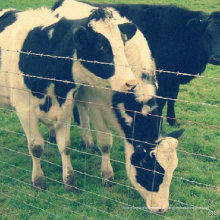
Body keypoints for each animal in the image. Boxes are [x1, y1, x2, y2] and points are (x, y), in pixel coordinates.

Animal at [0, 7, 138, 191]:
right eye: (101, 47)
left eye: (122, 44)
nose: (130, 83)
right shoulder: (24, 109)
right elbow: (36, 147)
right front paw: (38, 181)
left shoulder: (65, 105)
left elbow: (65, 146)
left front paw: (69, 181)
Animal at [51, 0, 184, 213]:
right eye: (149, 169)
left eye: (172, 170)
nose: (161, 208)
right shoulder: (97, 103)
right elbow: (106, 142)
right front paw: (107, 176)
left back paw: (87, 141)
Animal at [53, 0, 220, 125]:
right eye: (208, 34)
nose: (216, 58)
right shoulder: (163, 76)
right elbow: (162, 100)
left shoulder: (174, 77)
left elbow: (173, 97)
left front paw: (172, 120)